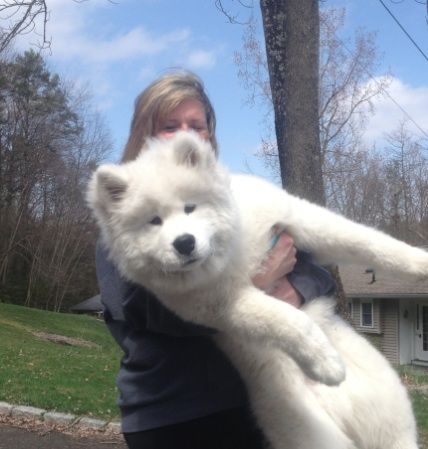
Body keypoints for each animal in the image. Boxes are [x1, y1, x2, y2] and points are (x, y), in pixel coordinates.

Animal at [88, 132, 424, 448]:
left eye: (190, 207)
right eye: (154, 221)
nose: (184, 243)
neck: (231, 250)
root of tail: (344, 413)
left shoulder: (297, 220)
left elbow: (368, 241)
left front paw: (421, 263)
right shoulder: (223, 302)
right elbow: (290, 320)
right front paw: (326, 364)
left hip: (386, 403)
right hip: (308, 428)